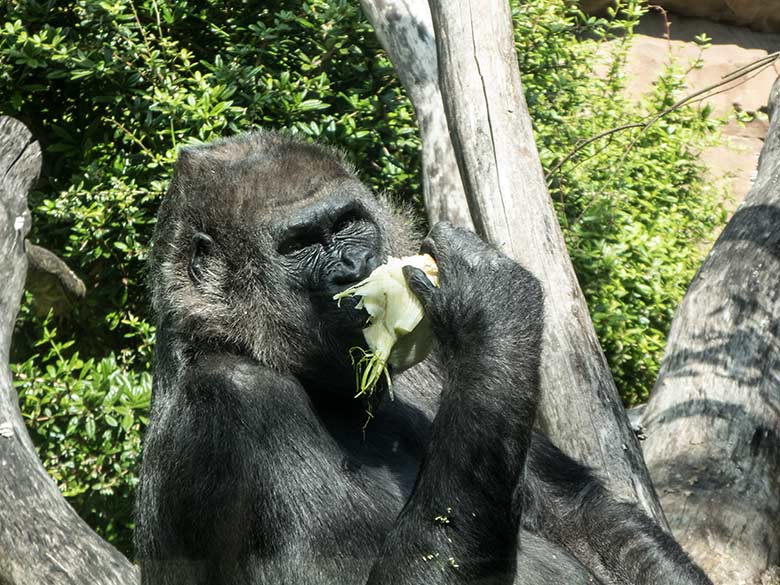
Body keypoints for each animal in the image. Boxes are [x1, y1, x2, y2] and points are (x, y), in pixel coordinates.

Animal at [136, 131, 712, 584]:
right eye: (300, 245)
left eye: (347, 223)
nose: (355, 265)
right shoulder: (237, 402)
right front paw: (494, 305)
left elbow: (577, 513)